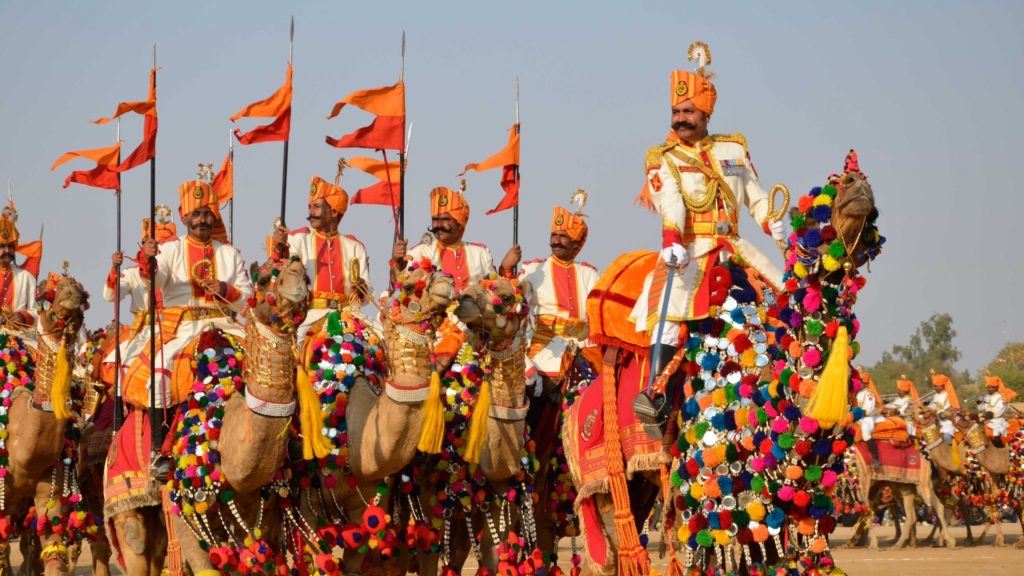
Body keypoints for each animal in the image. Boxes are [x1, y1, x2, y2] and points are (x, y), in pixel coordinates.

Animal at [565, 152, 884, 573]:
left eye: (874, 217)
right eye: (809, 216)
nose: (856, 182)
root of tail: (574, 410)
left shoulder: (793, 501)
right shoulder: (706, 492)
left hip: (641, 483)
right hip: (599, 481)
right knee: (612, 551)